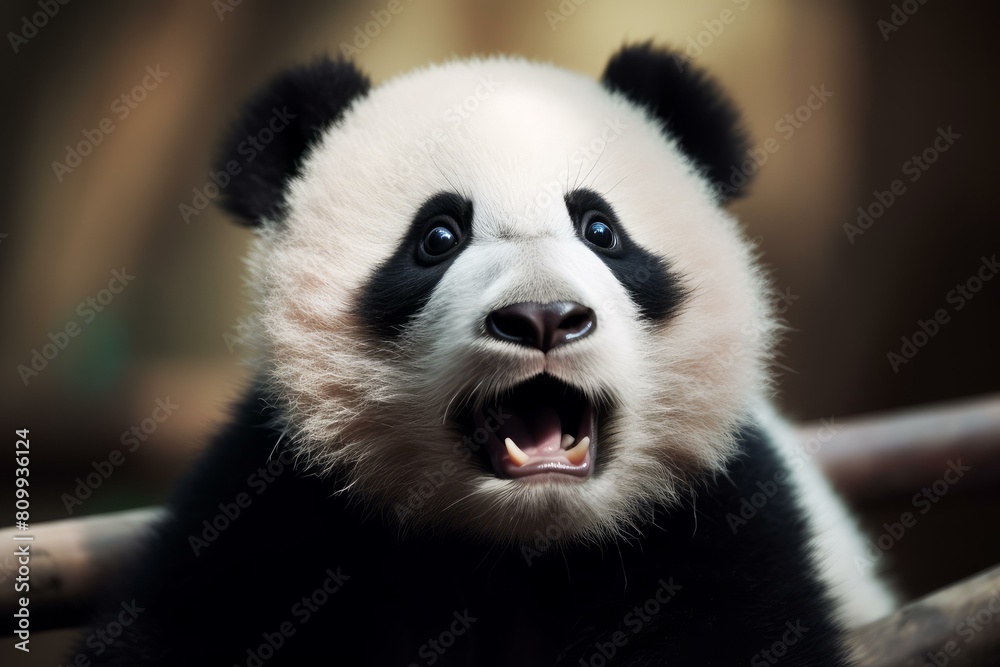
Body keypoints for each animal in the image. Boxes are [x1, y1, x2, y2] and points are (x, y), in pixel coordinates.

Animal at [78, 43, 894, 665]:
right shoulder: (275, 509)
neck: (521, 545)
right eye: (438, 237)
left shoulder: (716, 521)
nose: (542, 317)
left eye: (601, 230)